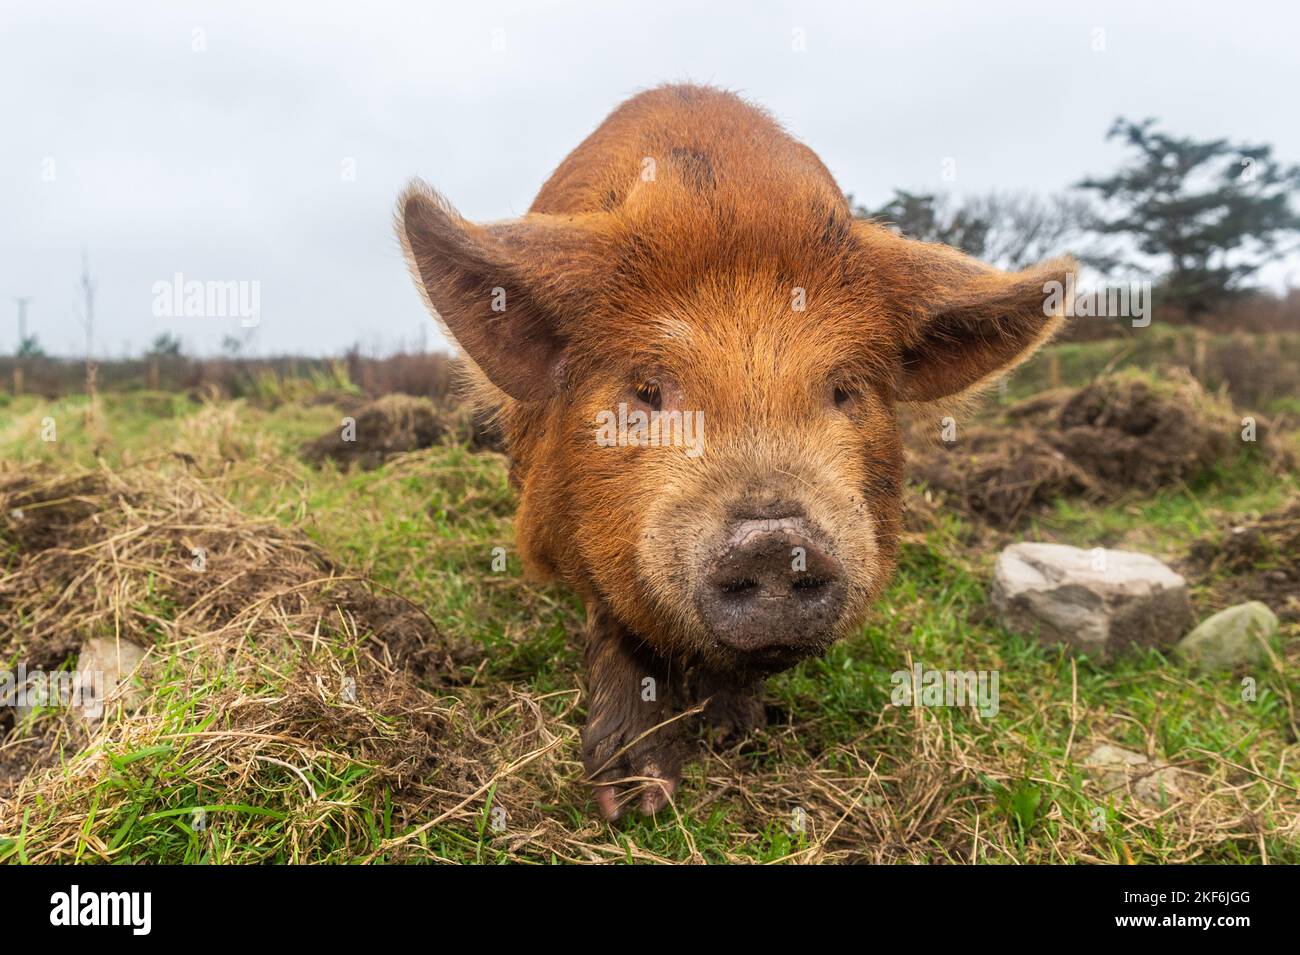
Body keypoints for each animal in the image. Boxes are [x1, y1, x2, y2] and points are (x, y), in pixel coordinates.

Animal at [400, 83, 1071, 821]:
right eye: (647, 390)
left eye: (843, 389)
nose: (775, 539)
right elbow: (615, 617)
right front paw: (633, 798)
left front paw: (736, 735)